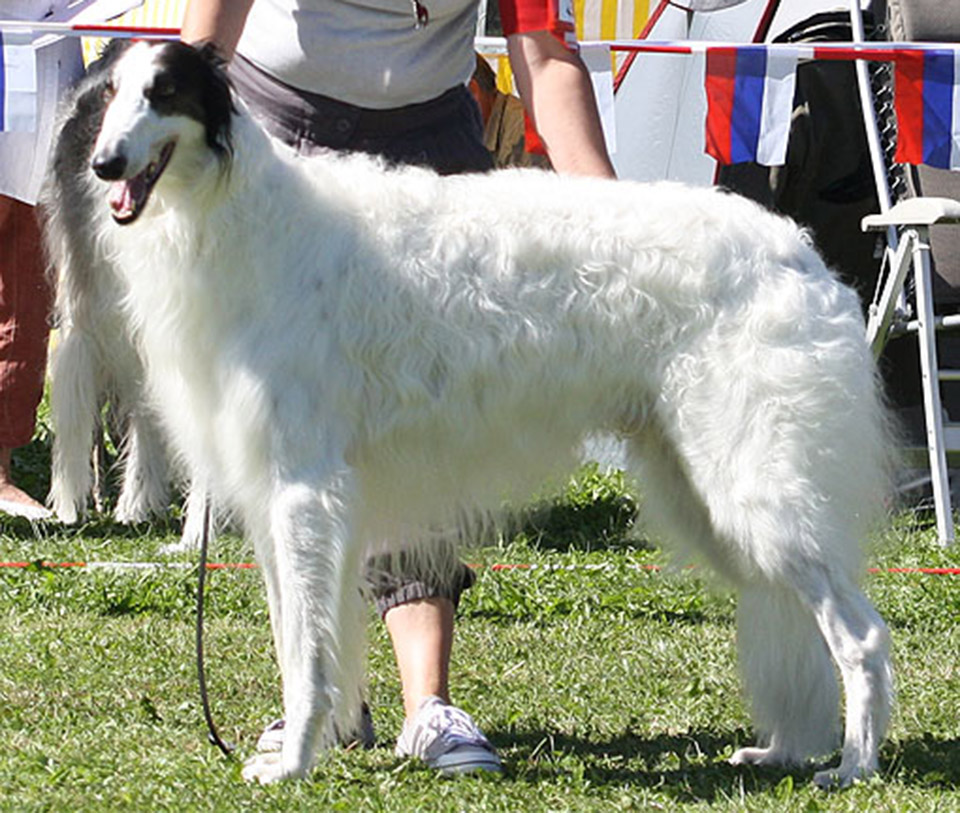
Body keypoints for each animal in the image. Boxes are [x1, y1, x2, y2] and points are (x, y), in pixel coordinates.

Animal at [82, 39, 892, 788]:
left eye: (164, 92)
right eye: (112, 93)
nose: (104, 166)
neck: (246, 217)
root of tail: (799, 252)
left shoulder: (305, 490)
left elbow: (308, 657)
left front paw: (294, 764)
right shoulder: (271, 494)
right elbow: (300, 643)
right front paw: (302, 748)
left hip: (757, 486)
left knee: (861, 636)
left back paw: (853, 764)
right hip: (707, 491)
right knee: (790, 616)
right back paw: (783, 749)